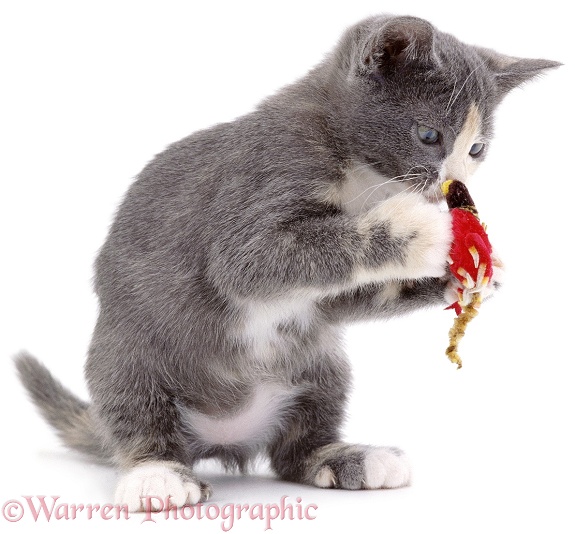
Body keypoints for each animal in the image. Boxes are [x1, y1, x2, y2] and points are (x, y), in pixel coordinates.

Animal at [15, 14, 560, 512]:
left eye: (477, 149)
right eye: (429, 135)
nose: (456, 186)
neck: (361, 177)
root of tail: (222, 437)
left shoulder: (329, 299)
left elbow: (343, 301)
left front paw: (465, 275)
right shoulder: (269, 173)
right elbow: (249, 262)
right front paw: (421, 229)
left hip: (321, 364)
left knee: (293, 449)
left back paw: (345, 457)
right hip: (129, 350)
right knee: (138, 413)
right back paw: (155, 474)